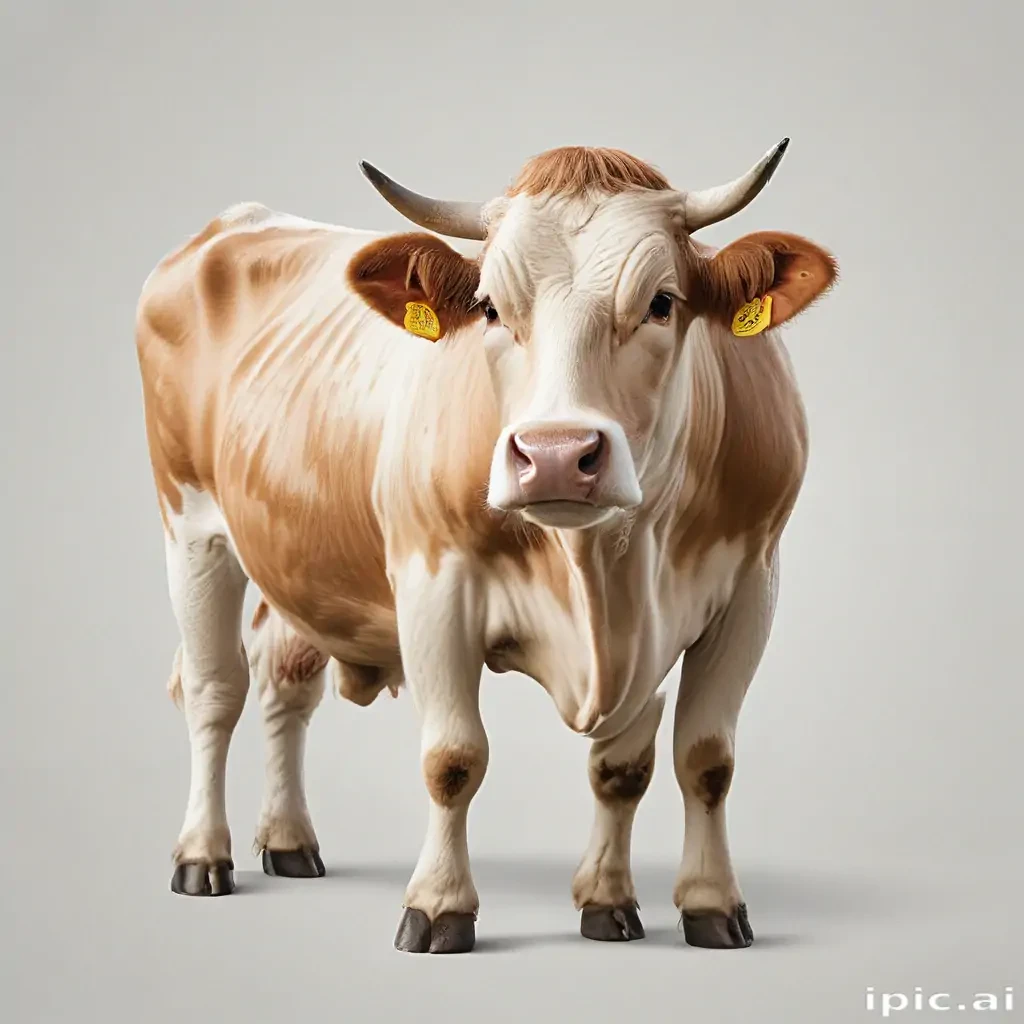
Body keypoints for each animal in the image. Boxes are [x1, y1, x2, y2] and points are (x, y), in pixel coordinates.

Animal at [135, 140, 837, 954]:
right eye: (490, 308)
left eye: (662, 302)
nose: (558, 454)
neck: (603, 576)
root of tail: (234, 224)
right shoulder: (433, 586)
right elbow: (453, 758)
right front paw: (439, 907)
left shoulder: (746, 588)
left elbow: (683, 761)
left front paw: (675, 903)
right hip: (192, 527)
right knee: (214, 689)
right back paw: (201, 854)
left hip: (297, 554)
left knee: (284, 677)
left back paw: (288, 840)